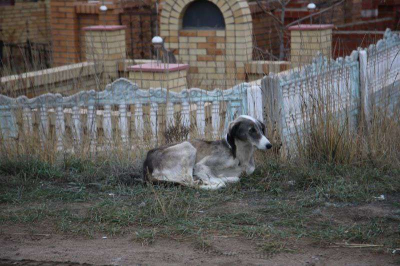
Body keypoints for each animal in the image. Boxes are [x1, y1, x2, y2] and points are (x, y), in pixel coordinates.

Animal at [143, 115, 272, 189]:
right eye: (251, 130)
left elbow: (235, 177)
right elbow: (220, 179)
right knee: (191, 183)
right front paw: (214, 179)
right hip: (188, 146)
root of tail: (146, 166)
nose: (269, 145)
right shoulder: (200, 166)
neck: (240, 154)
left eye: (261, 129)